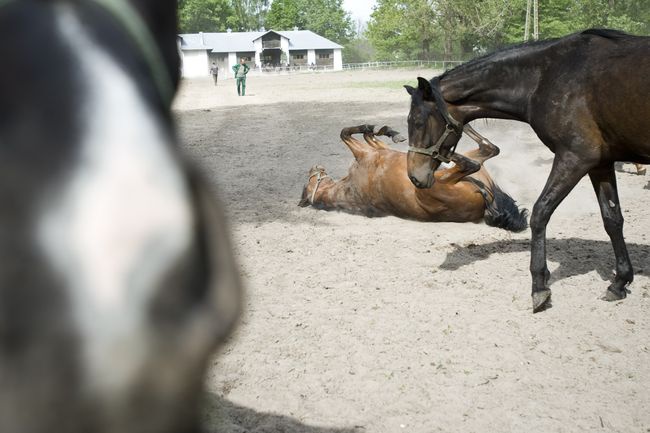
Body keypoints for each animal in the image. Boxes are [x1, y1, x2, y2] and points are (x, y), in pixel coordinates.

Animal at [298, 124, 528, 233]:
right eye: (308, 183)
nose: (314, 167)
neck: (349, 188)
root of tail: (484, 207)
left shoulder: (376, 150)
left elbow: (367, 135)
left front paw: (389, 132)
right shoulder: (366, 153)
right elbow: (346, 133)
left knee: (488, 149)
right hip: (435, 181)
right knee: (474, 161)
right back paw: (442, 146)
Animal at [404, 27, 648, 310]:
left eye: (418, 121)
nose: (415, 176)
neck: (547, 76)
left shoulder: (575, 158)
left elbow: (540, 213)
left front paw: (539, 286)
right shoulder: (601, 164)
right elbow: (612, 219)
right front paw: (619, 282)